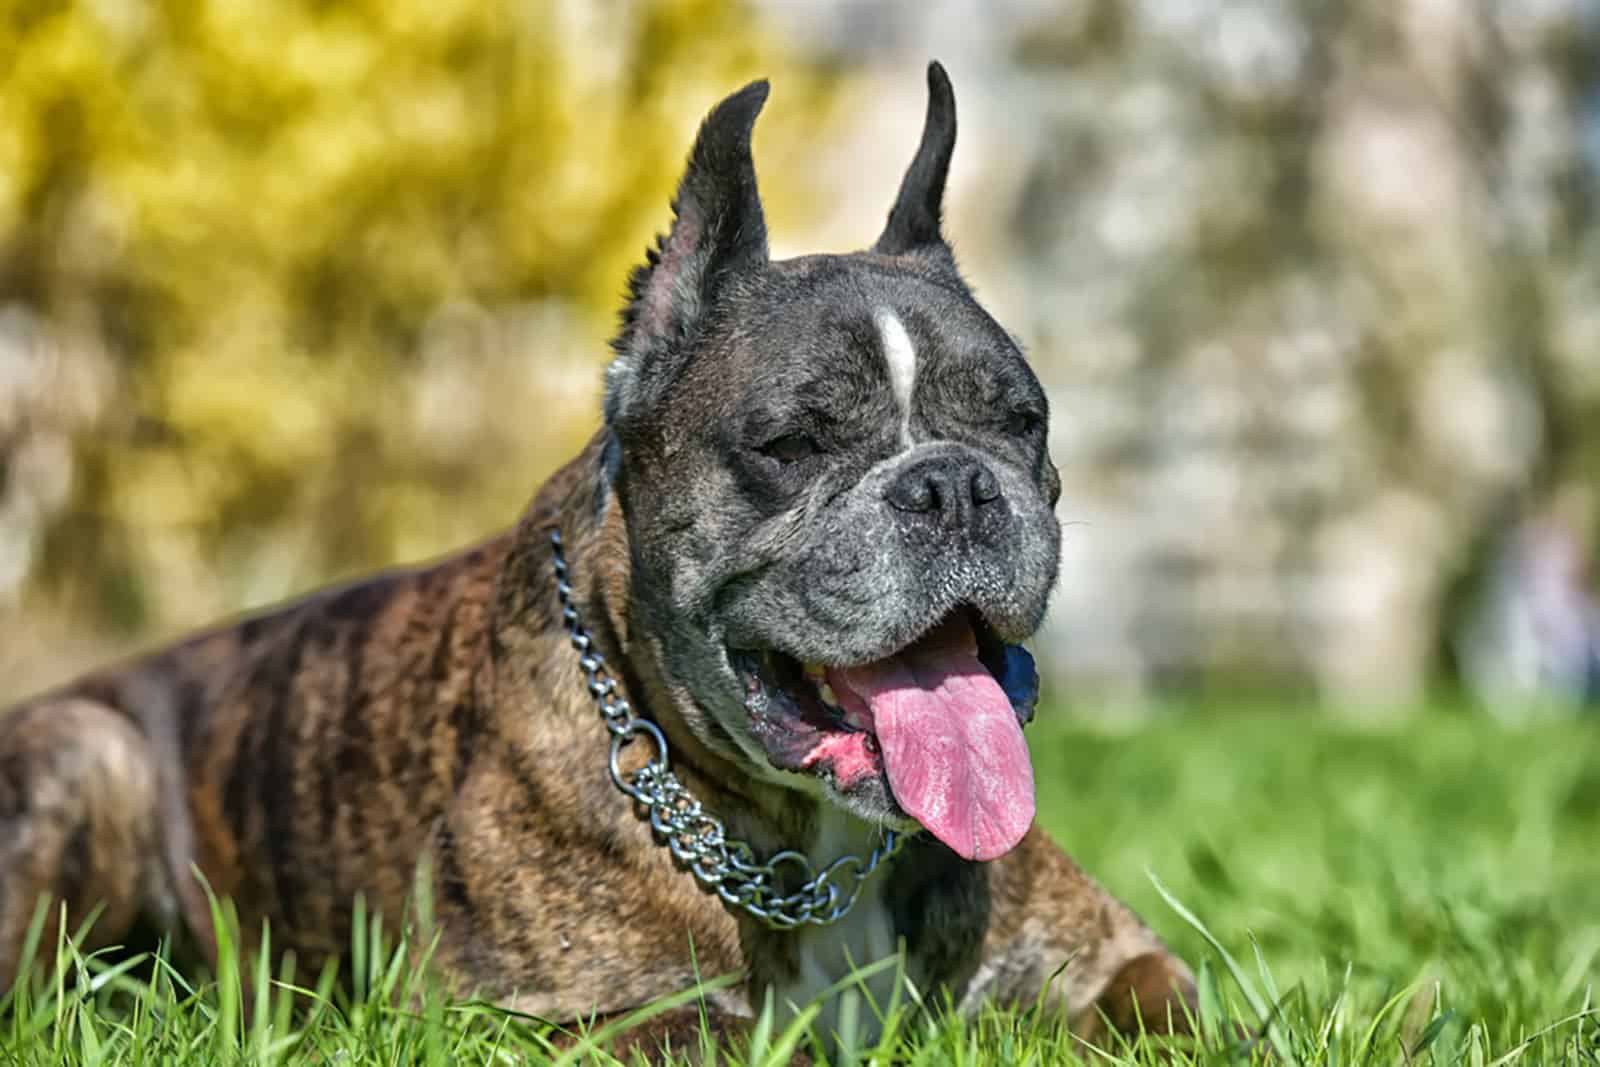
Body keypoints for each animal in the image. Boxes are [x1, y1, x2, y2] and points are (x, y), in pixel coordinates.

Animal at [0, 62, 1196, 1055]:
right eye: (791, 445)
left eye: (1022, 423)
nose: (952, 485)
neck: (806, 847)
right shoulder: (557, 1017)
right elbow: (747, 1037)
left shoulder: (1116, 962)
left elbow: (1164, 1013)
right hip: (89, 749)